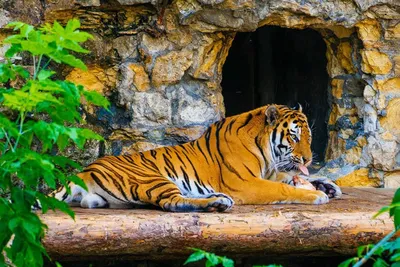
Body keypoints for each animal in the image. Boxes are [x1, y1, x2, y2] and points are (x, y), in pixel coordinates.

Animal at [52, 104, 340, 211]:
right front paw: (317, 195)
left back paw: (217, 199)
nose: (308, 159)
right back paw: (216, 203)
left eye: (309, 137)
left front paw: (327, 186)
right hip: (152, 179)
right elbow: (282, 188)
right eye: (294, 137)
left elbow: (292, 179)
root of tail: (83, 170)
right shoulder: (245, 184)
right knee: (172, 203)